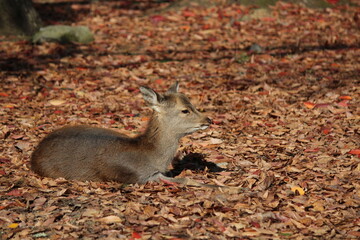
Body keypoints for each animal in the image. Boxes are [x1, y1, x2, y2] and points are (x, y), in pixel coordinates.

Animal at [31, 81, 219, 187]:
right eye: (185, 110)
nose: (208, 119)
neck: (151, 158)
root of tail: (34, 153)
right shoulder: (137, 176)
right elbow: (185, 180)